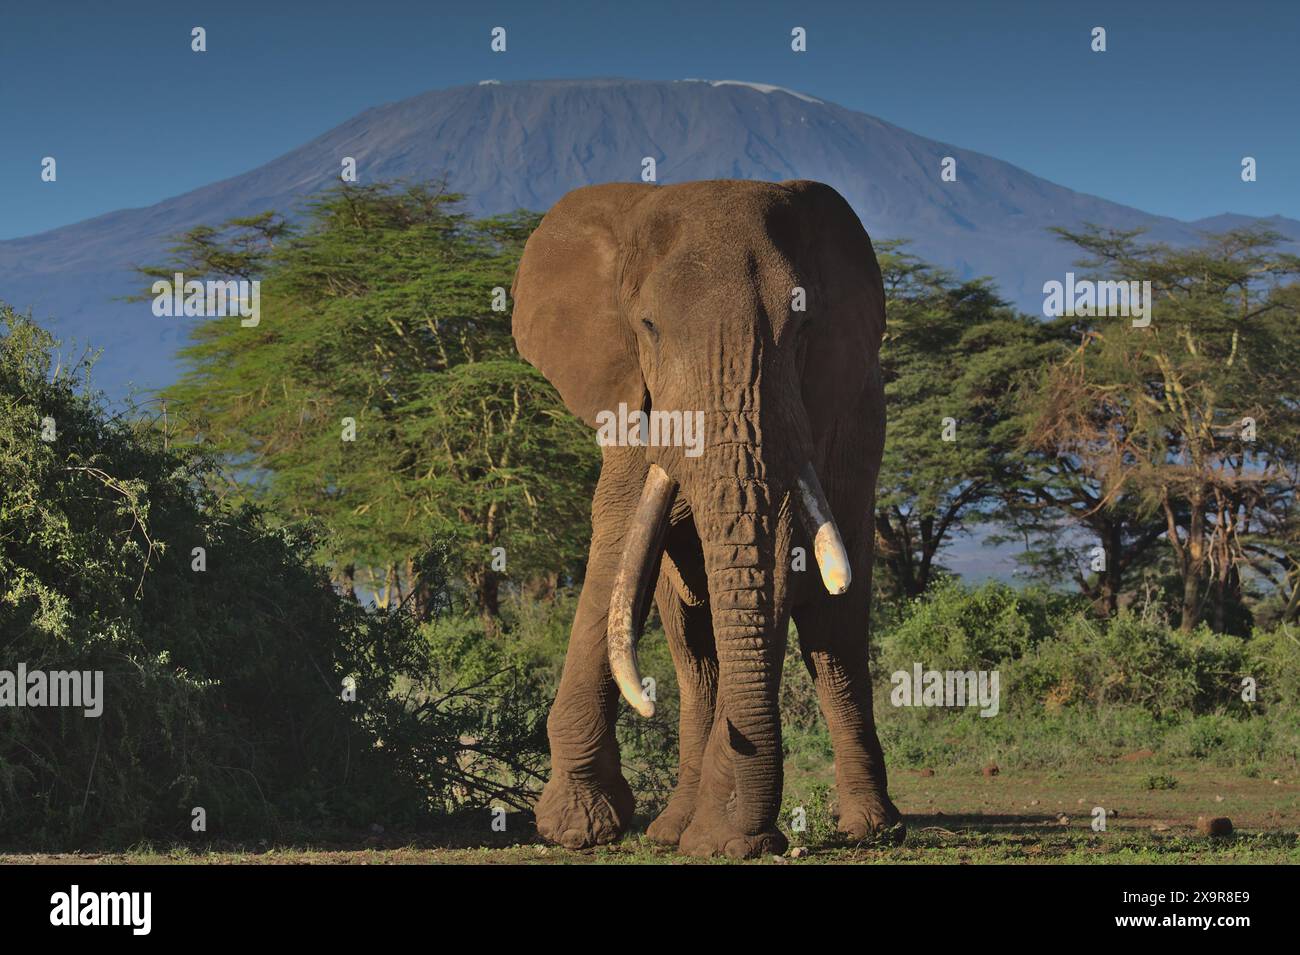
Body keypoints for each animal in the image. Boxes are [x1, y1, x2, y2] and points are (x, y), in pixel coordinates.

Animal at [509, 179, 904, 857]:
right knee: (694, 651)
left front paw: (724, 840)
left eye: (803, 327)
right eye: (648, 327)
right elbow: (618, 540)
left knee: (834, 640)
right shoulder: (632, 395)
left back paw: (872, 829)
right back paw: (671, 829)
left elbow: (780, 564)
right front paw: (578, 828)